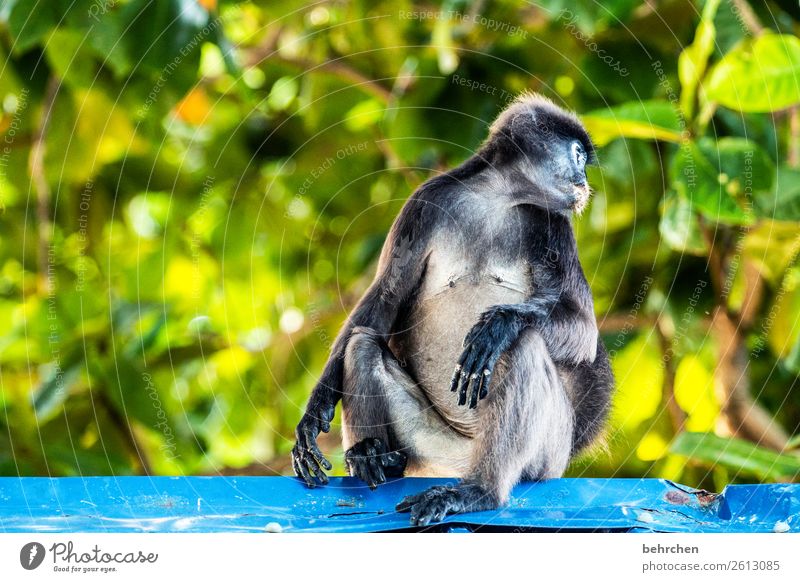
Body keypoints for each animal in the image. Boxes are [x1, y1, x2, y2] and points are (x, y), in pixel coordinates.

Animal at [292, 92, 612, 528]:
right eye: (578, 154)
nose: (584, 179)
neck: (496, 198)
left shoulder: (553, 223)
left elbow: (582, 330)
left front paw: (499, 324)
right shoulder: (427, 201)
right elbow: (384, 301)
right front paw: (316, 410)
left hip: (547, 451)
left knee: (521, 345)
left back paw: (480, 491)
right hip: (433, 445)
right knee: (361, 344)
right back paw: (376, 457)